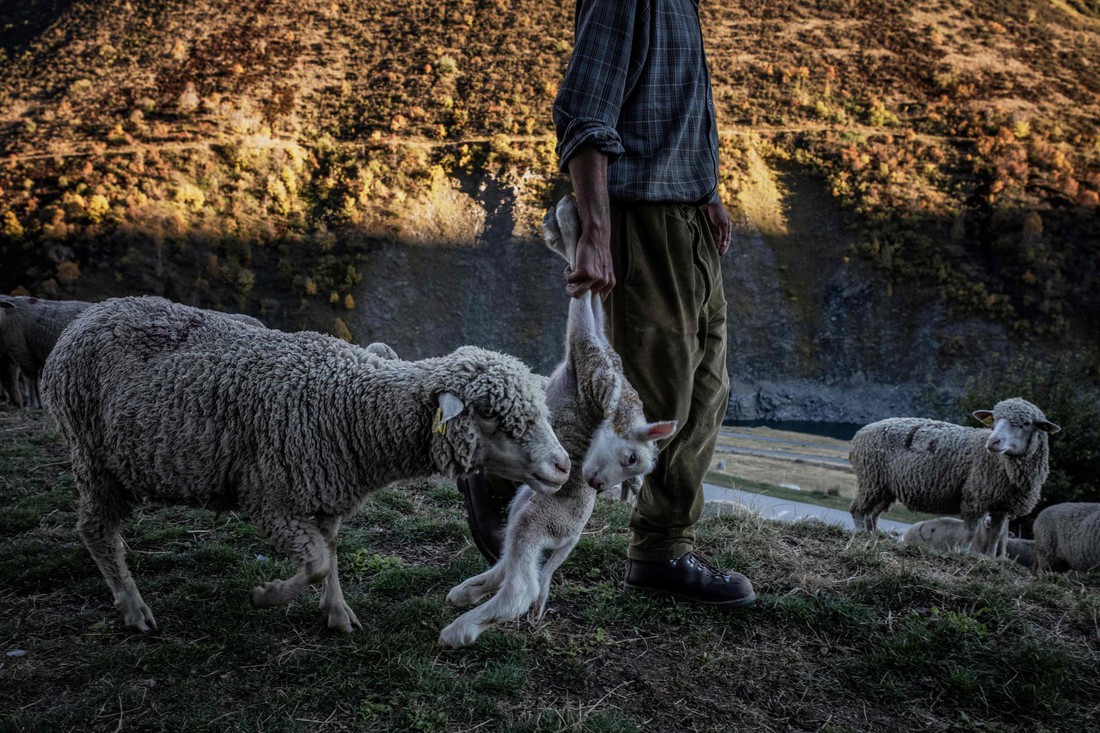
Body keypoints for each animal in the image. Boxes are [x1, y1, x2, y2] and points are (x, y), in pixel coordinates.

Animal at [38, 294, 572, 629]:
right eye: (489, 414)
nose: (564, 466)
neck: (348, 406)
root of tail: (88, 316)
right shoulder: (268, 498)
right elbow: (314, 562)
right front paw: (268, 594)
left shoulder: (327, 493)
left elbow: (329, 555)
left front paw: (337, 614)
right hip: (92, 455)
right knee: (95, 530)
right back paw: (133, 608)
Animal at [433, 195, 673, 647]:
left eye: (630, 461)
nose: (596, 484)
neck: (618, 399)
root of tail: (574, 534)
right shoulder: (598, 351)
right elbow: (594, 304)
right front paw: (569, 227)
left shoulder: (587, 354)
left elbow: (582, 307)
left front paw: (568, 227)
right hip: (526, 503)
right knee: (512, 565)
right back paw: (467, 592)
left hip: (538, 516)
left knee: (522, 586)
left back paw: (462, 628)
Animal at [844, 400, 1060, 554]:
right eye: (995, 420)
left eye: (1025, 424)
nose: (992, 442)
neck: (1002, 466)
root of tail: (862, 431)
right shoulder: (974, 497)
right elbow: (971, 531)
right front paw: (961, 553)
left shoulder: (1002, 504)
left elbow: (997, 534)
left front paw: (988, 559)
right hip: (871, 479)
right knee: (858, 510)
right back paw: (861, 534)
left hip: (885, 486)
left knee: (874, 513)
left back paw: (873, 535)